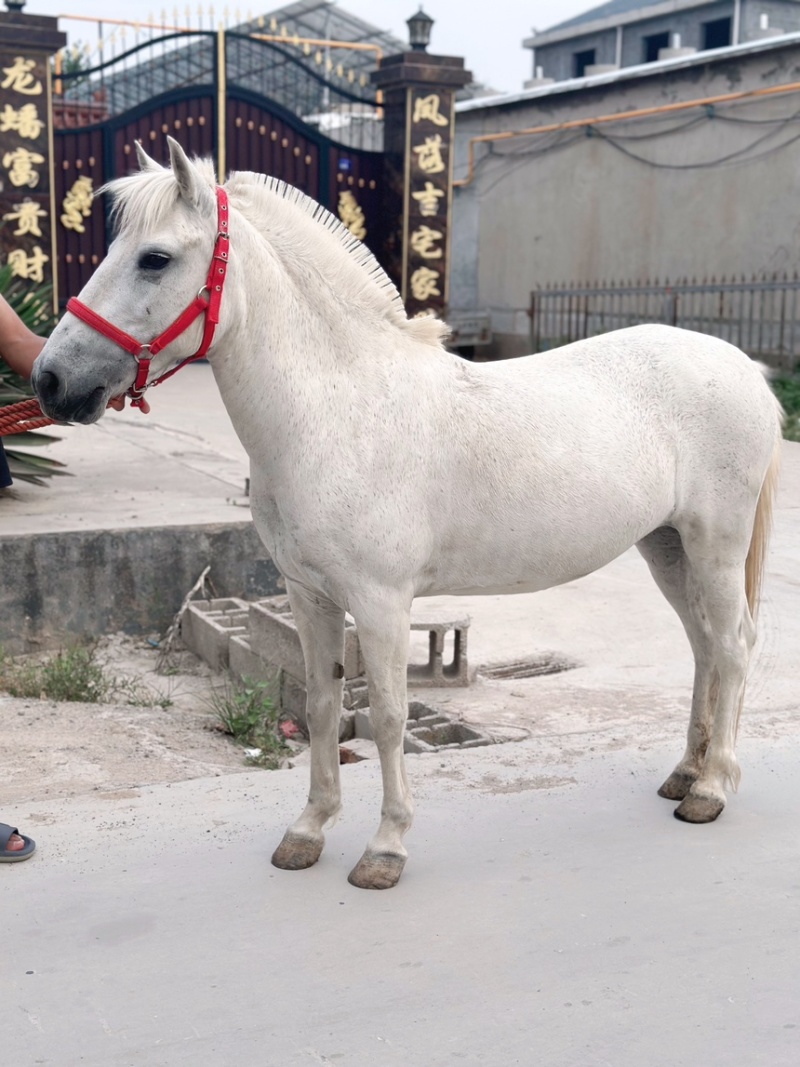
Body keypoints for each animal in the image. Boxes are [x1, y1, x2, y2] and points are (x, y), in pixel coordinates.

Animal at [32, 138, 783, 890]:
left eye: (154, 258)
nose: (49, 379)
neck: (338, 409)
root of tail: (744, 368)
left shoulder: (382, 602)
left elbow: (390, 717)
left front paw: (385, 848)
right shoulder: (308, 595)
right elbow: (321, 704)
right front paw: (308, 830)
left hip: (714, 545)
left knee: (734, 645)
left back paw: (711, 788)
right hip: (667, 546)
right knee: (703, 645)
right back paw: (684, 773)